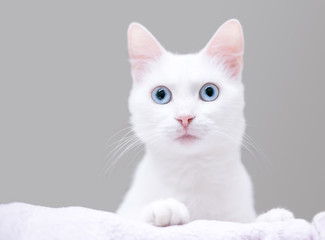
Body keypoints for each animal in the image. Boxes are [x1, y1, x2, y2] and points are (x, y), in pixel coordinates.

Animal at [116, 19, 288, 227]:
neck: (192, 172)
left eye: (209, 92)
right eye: (161, 95)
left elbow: (247, 222)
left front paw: (272, 217)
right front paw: (165, 207)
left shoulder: (237, 216)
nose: (184, 117)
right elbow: (130, 217)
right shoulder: (124, 212)